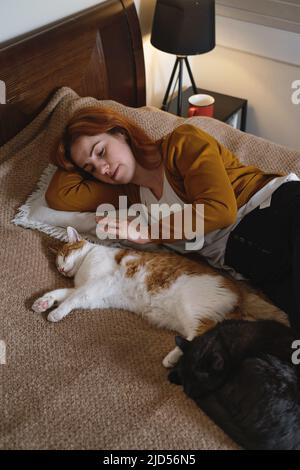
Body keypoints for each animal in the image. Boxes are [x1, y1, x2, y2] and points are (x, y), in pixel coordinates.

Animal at [31, 227, 288, 368]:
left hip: (192, 307)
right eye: (57, 263)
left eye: (64, 255)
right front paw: (43, 302)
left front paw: (55, 313)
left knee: (202, 333)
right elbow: (62, 293)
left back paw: (171, 359)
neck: (83, 268)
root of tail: (239, 288)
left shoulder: (96, 284)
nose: (61, 269)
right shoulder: (91, 293)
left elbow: (70, 300)